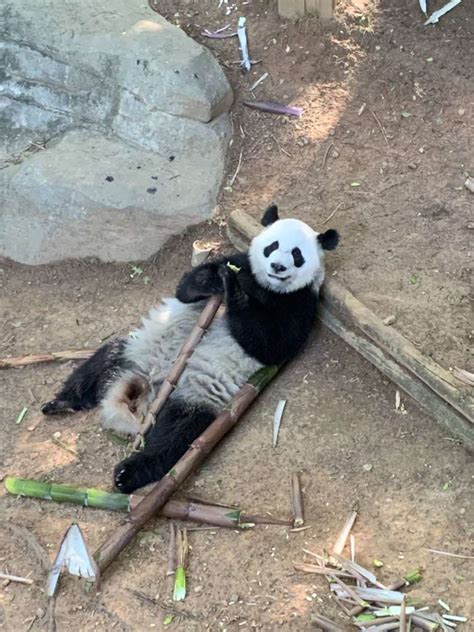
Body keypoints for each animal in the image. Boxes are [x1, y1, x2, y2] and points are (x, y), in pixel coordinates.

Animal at [40, 207, 336, 494]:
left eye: (297, 255)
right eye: (271, 246)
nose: (277, 266)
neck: (267, 286)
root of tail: (155, 386)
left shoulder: (301, 303)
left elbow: (271, 344)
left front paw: (233, 291)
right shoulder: (242, 261)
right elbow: (186, 287)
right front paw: (217, 280)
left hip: (195, 394)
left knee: (177, 434)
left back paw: (128, 473)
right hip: (139, 350)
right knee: (102, 361)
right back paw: (61, 403)